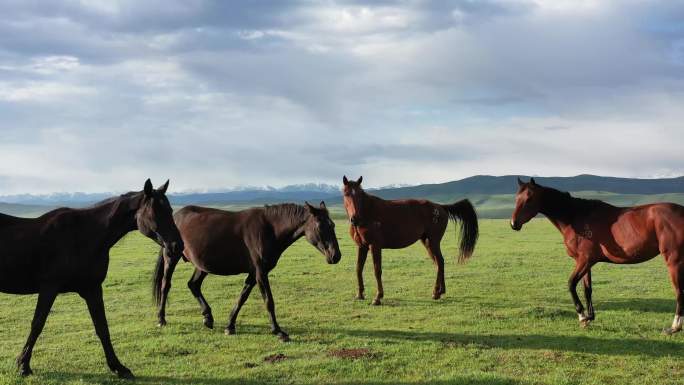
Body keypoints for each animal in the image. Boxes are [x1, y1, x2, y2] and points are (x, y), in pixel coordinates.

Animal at [0, 178, 183, 376]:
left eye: (170, 210)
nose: (178, 246)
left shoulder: (92, 288)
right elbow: (37, 324)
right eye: (155, 211)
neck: (83, 236)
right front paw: (23, 364)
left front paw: (118, 367)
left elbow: (102, 327)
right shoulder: (49, 287)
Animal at [152, 201, 340, 340]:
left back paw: (208, 318)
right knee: (165, 285)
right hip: (171, 257)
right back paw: (161, 319)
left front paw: (230, 326)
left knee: (193, 285)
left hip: (202, 265)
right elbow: (268, 301)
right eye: (320, 226)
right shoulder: (260, 272)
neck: (269, 229)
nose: (336, 256)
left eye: (333, 225)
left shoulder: (253, 273)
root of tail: (176, 216)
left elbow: (242, 297)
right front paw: (278, 331)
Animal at [342, 176, 480, 304]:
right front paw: (360, 294)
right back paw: (440, 291)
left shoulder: (375, 246)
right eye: (346, 194)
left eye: (359, 195)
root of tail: (440, 207)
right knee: (438, 263)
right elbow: (358, 268)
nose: (354, 218)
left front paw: (378, 297)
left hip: (433, 242)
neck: (367, 213)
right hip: (427, 242)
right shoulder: (362, 246)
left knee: (440, 262)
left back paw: (436, 292)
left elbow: (377, 270)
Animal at [510, 178, 684, 332]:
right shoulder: (586, 263)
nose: (513, 224)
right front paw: (589, 317)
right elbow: (587, 289)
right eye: (517, 198)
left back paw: (675, 327)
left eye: (529, 198)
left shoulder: (584, 260)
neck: (575, 217)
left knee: (679, 292)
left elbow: (571, 284)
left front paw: (582, 316)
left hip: (674, 261)